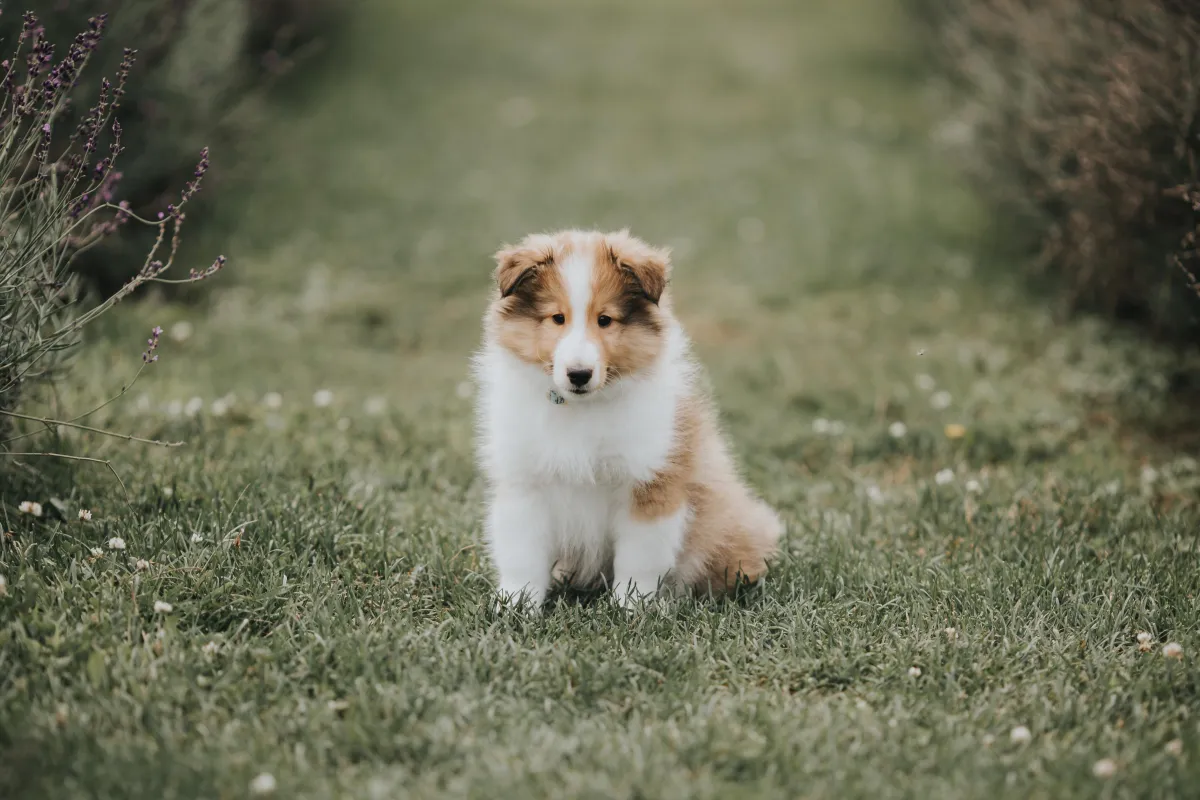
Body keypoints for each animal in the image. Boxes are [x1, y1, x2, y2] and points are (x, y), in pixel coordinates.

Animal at [472, 231, 782, 614]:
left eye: (605, 320)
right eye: (557, 318)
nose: (579, 374)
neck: (581, 409)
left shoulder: (650, 483)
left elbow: (640, 559)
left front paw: (631, 608)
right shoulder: (525, 482)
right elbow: (521, 555)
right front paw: (515, 606)